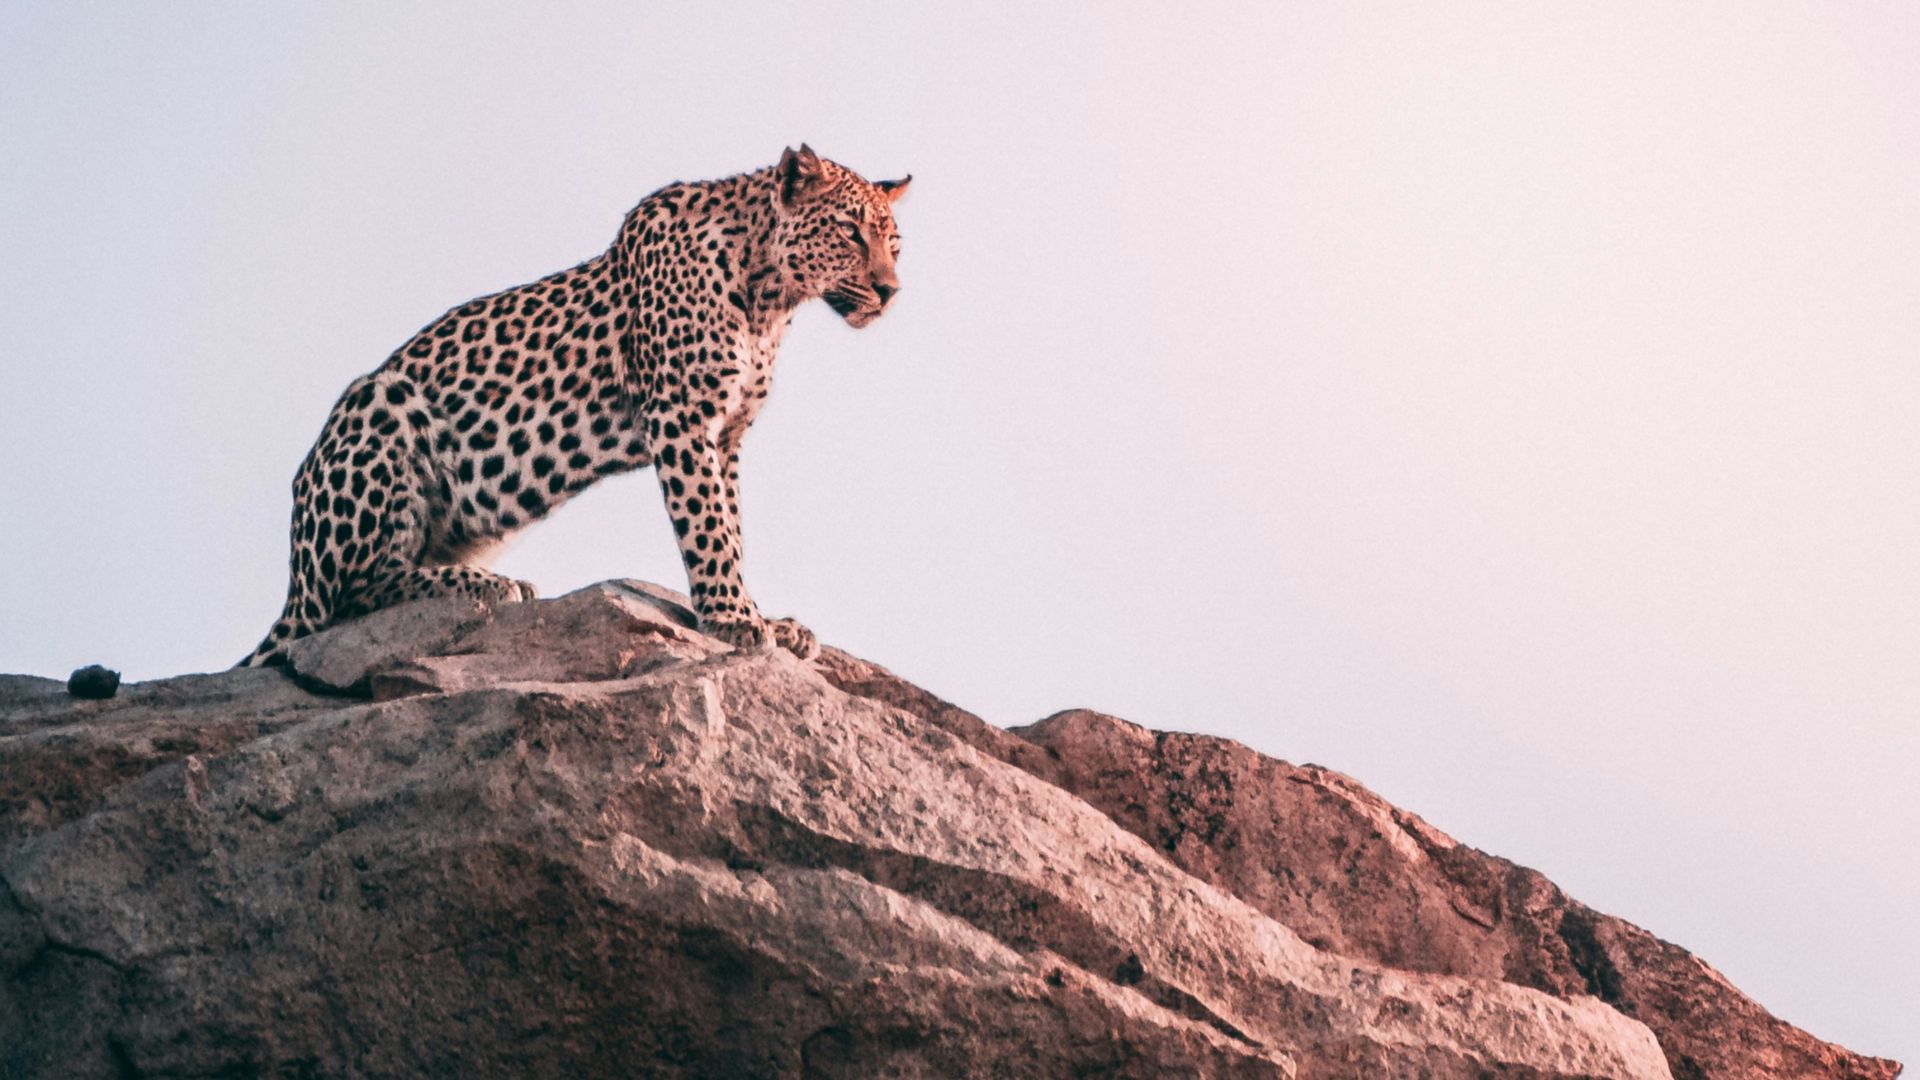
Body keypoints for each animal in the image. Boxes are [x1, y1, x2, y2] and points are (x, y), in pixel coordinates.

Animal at [240, 146, 908, 667]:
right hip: (379, 403)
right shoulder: (681, 416)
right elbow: (708, 525)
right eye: (850, 232)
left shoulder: (727, 435)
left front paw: (763, 615)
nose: (890, 291)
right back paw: (489, 585)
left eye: (894, 244)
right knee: (347, 599)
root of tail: (294, 580)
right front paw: (733, 618)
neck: (770, 296)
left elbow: (733, 526)